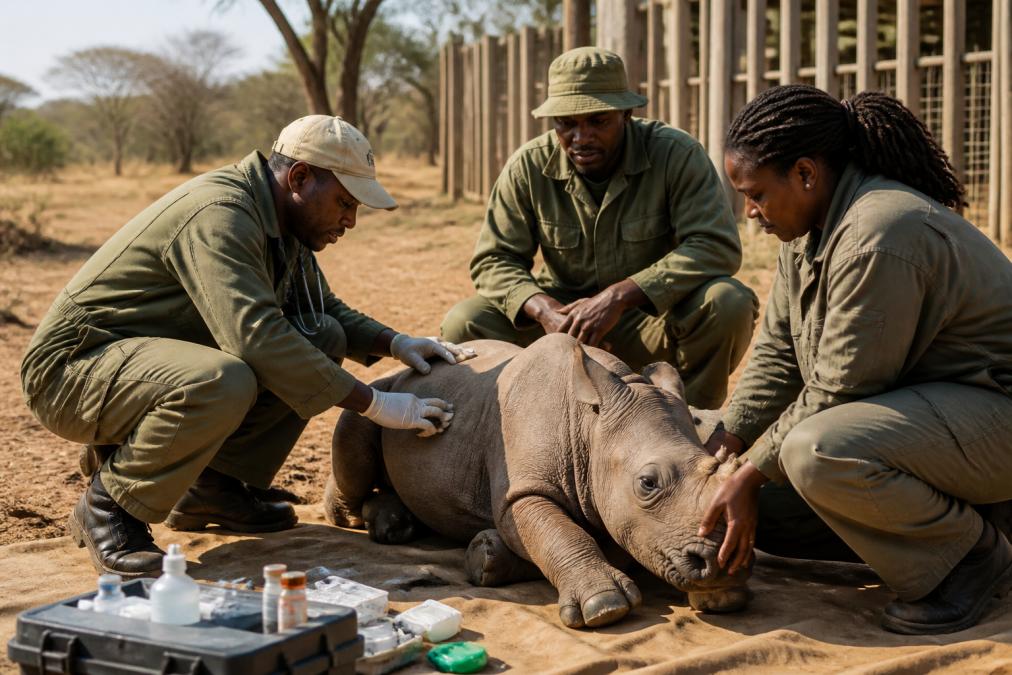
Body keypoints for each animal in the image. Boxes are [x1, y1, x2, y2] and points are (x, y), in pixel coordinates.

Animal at [324, 334, 749, 628]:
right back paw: (363, 520)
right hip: (392, 386)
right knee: (359, 422)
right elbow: (559, 531)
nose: (720, 563)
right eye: (647, 483)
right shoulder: (522, 491)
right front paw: (605, 608)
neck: (590, 426)